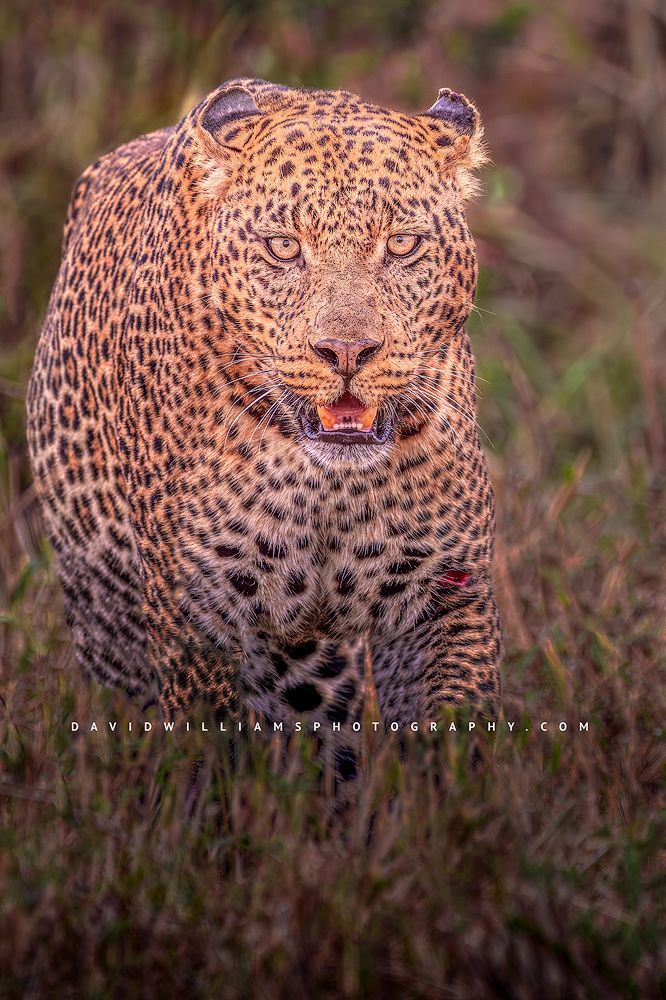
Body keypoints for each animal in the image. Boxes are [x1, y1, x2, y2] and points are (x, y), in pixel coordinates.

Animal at [27, 77, 502, 768]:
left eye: (402, 244)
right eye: (284, 248)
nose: (347, 351)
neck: (328, 486)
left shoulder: (445, 591)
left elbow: (459, 728)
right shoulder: (196, 615)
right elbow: (206, 752)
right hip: (108, 625)